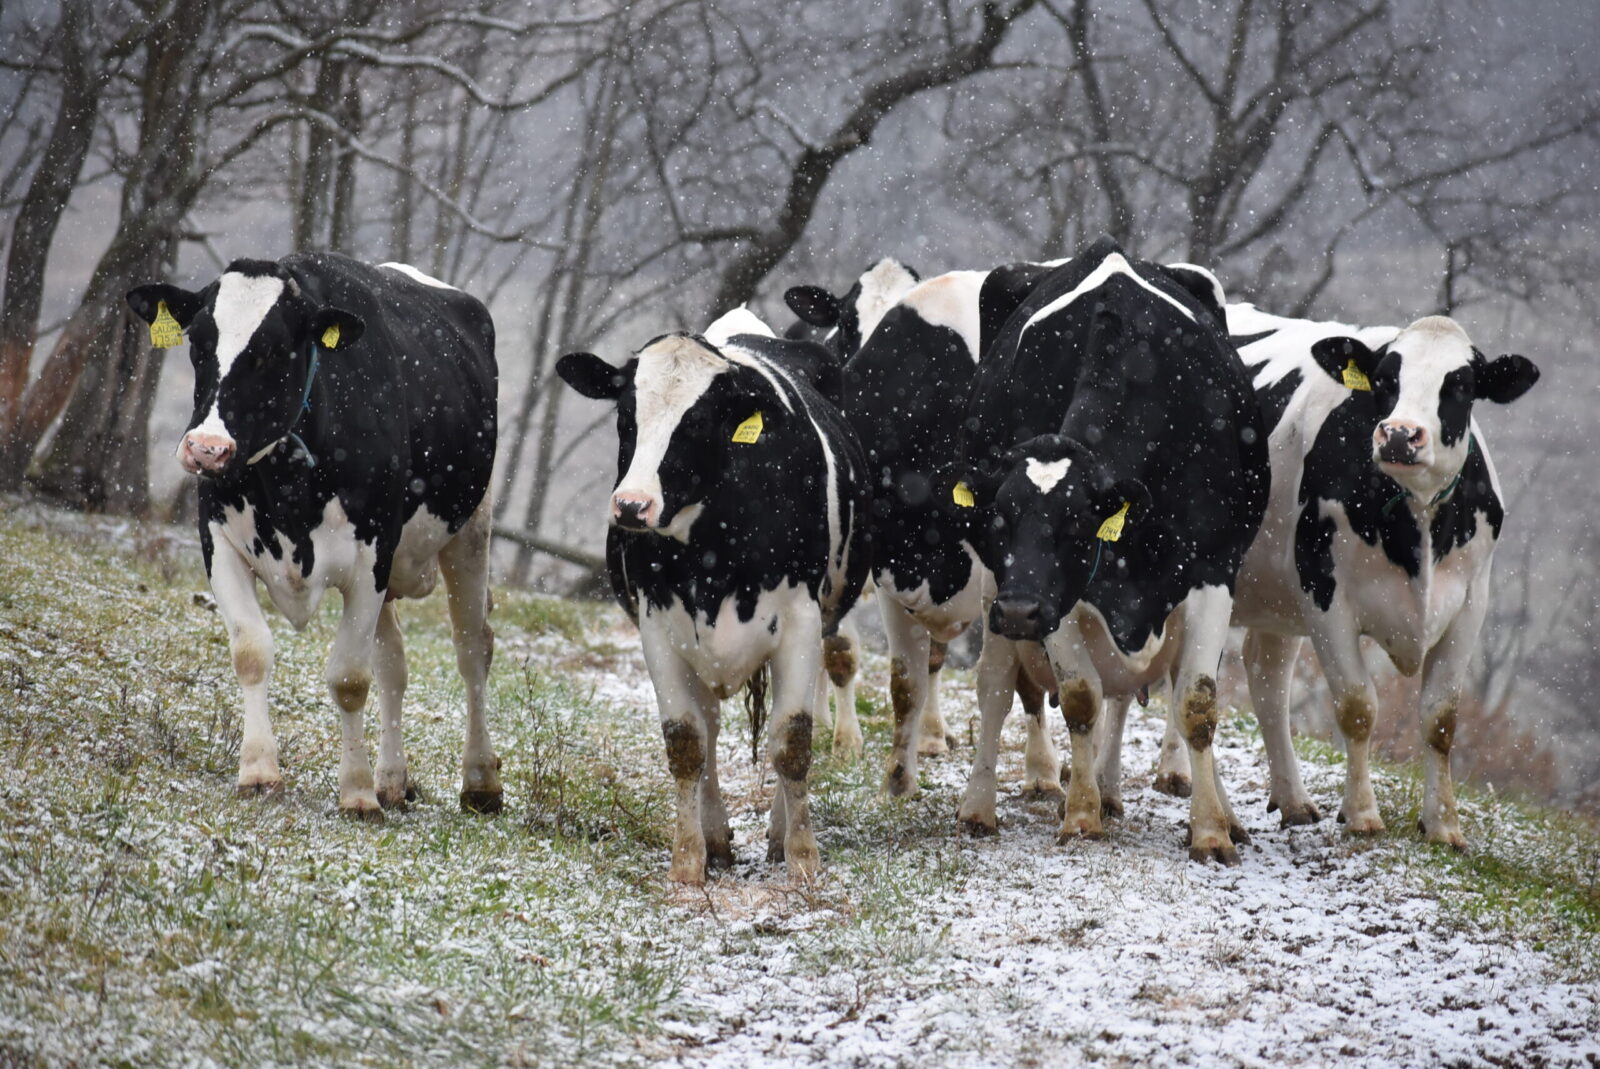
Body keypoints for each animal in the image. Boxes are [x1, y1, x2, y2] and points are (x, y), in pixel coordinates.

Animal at [125, 253, 502, 820]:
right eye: (198, 343)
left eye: (276, 350)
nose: (207, 448)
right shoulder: (218, 542)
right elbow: (252, 652)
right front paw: (260, 772)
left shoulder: (371, 558)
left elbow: (348, 677)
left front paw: (357, 792)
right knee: (394, 663)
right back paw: (394, 780)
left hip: (470, 531)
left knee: (472, 649)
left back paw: (479, 783)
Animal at [555, 309, 870, 883]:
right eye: (625, 417)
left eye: (698, 424)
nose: (632, 506)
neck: (715, 552)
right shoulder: (658, 627)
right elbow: (687, 741)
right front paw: (688, 860)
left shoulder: (801, 620)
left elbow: (793, 740)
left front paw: (802, 855)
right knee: (711, 729)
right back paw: (718, 837)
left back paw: (776, 833)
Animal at [946, 238, 1269, 864]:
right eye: (999, 519)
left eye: (1076, 524)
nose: (1019, 612)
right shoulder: (1059, 596)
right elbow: (1079, 698)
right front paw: (1080, 817)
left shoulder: (1213, 568)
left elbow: (1197, 702)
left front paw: (1212, 831)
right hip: (1004, 593)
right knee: (997, 686)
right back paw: (985, 805)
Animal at [1222, 304, 1538, 848]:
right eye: (1386, 380)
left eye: (1461, 385)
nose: (1399, 434)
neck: (1418, 521)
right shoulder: (1325, 595)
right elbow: (1357, 707)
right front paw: (1362, 815)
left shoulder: (1470, 605)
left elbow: (1440, 718)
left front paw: (1443, 825)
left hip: (1271, 595)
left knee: (1266, 675)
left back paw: (1292, 800)